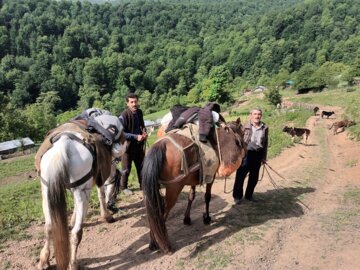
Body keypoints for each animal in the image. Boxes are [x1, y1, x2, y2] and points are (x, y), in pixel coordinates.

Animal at [37, 116, 126, 270]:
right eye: (116, 186)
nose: (113, 205)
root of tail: (64, 143)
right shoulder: (95, 183)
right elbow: (101, 194)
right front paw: (106, 216)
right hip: (81, 193)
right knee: (76, 233)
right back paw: (73, 263)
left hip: (46, 192)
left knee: (48, 227)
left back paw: (44, 260)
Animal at [142, 118, 246, 253]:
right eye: (243, 132)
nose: (245, 146)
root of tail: (160, 146)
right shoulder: (210, 177)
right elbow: (207, 197)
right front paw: (206, 218)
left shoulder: (193, 180)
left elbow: (191, 197)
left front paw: (187, 218)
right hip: (173, 188)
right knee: (162, 212)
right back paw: (162, 244)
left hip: (152, 190)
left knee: (154, 210)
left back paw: (153, 242)